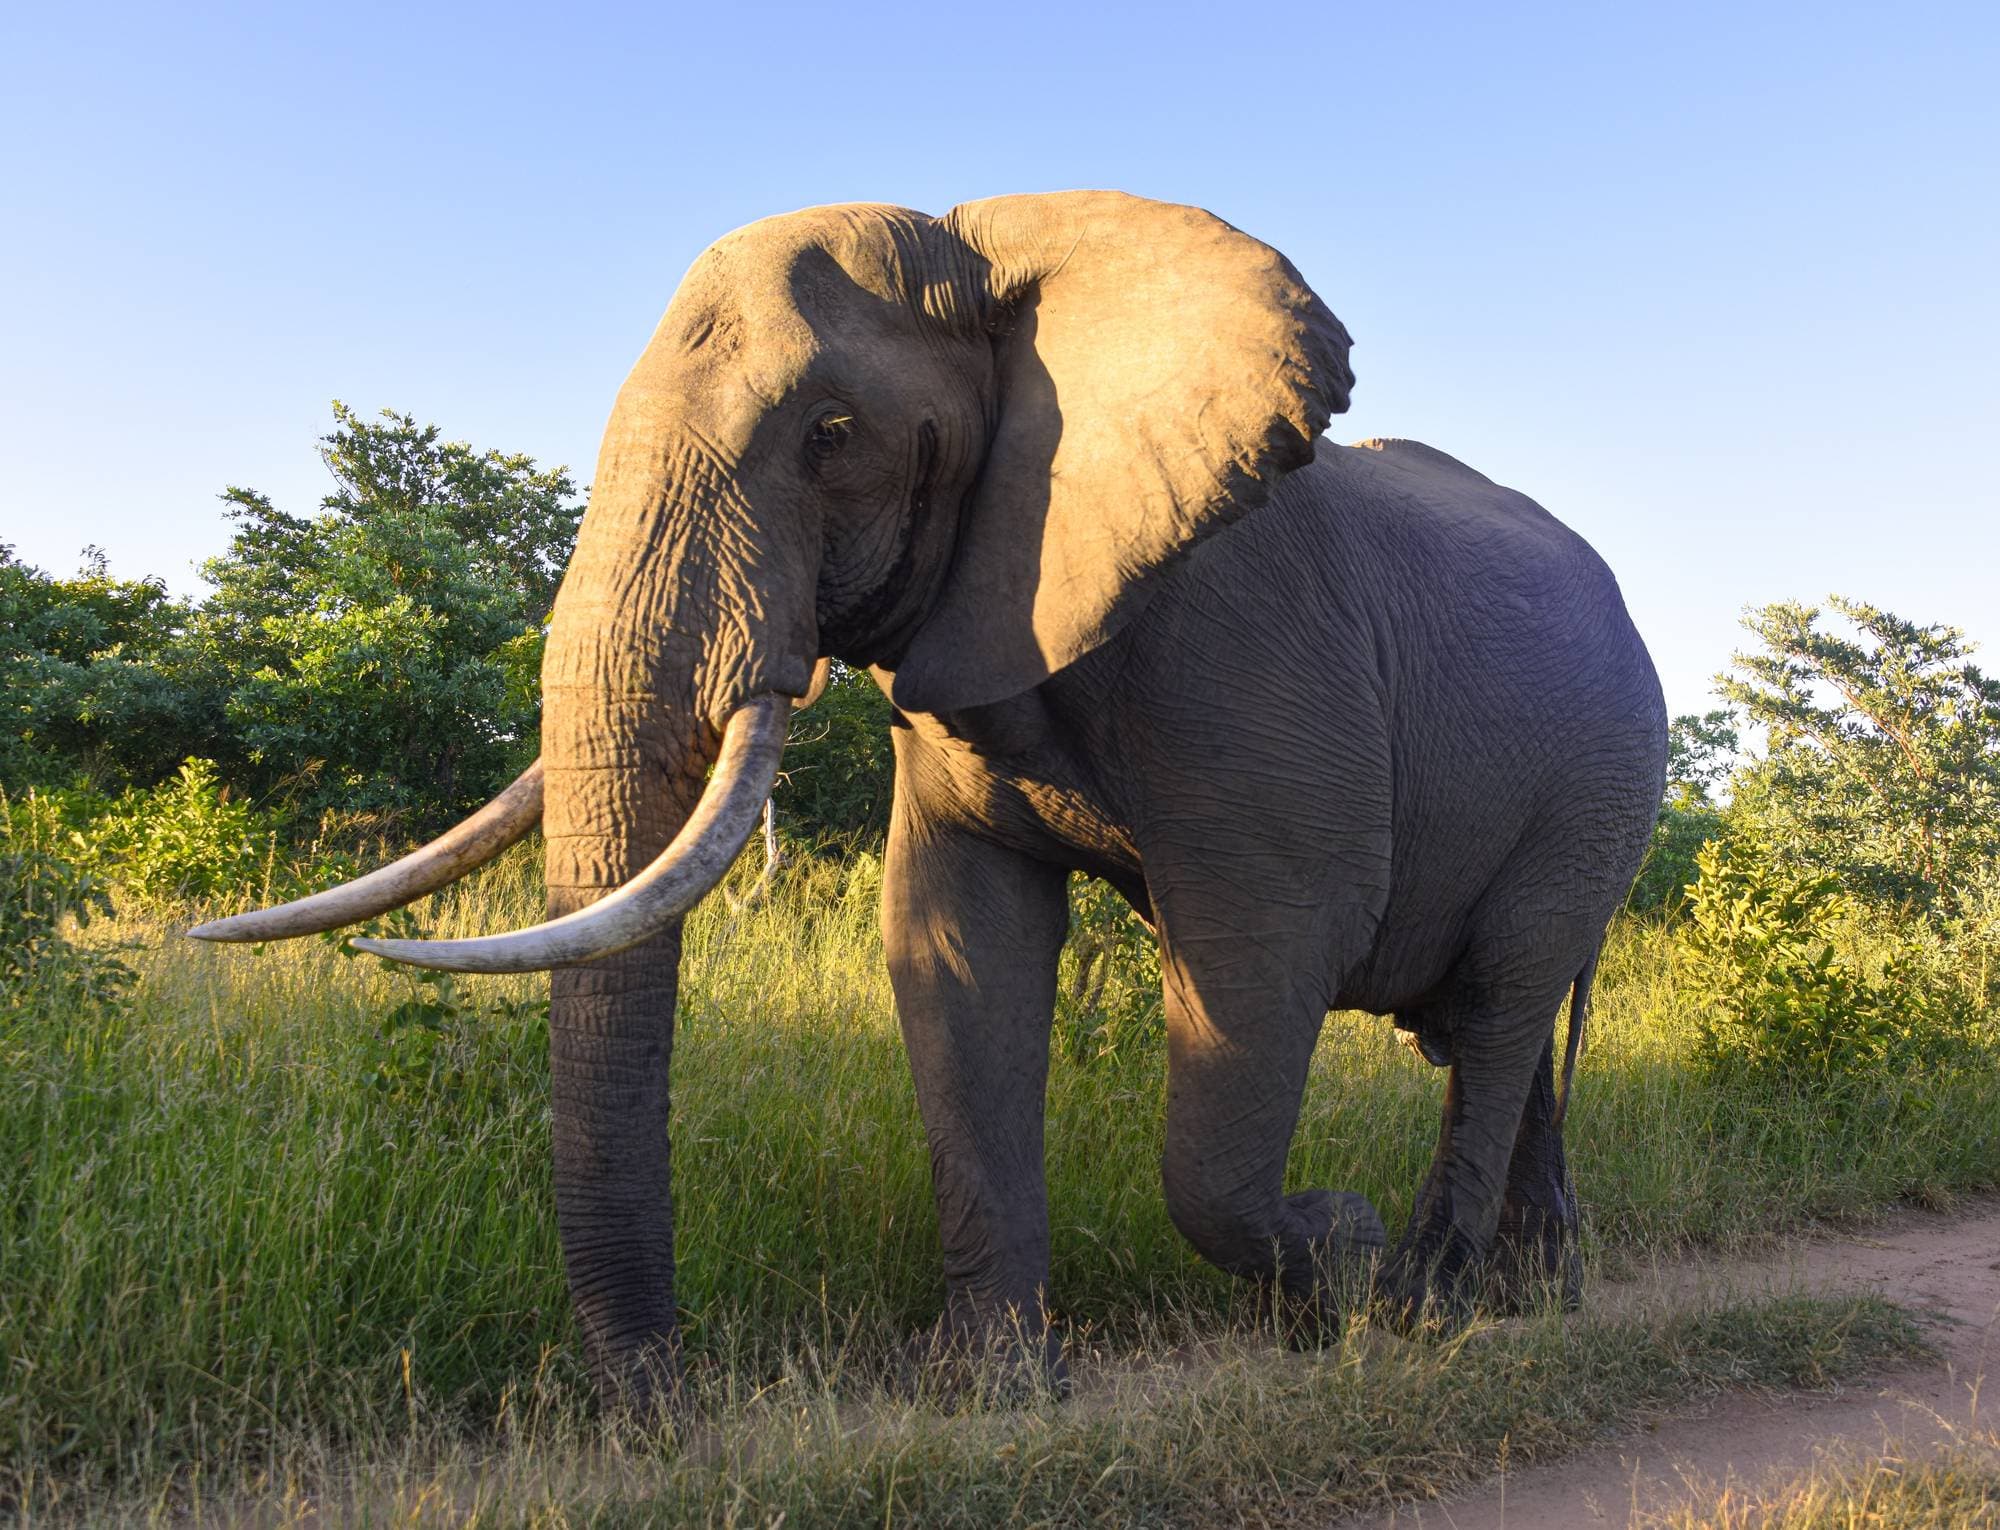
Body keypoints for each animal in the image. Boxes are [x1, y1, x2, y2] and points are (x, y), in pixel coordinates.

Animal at [194, 190, 1668, 1412]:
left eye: (831, 436)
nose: (676, 1400)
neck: (1001, 262)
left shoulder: (1250, 661)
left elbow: (1258, 965)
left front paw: (1339, 1260)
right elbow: (957, 944)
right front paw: (994, 1390)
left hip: (1601, 787)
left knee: (1495, 1015)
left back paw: (1429, 1305)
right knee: (1504, 1029)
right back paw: (1537, 1293)